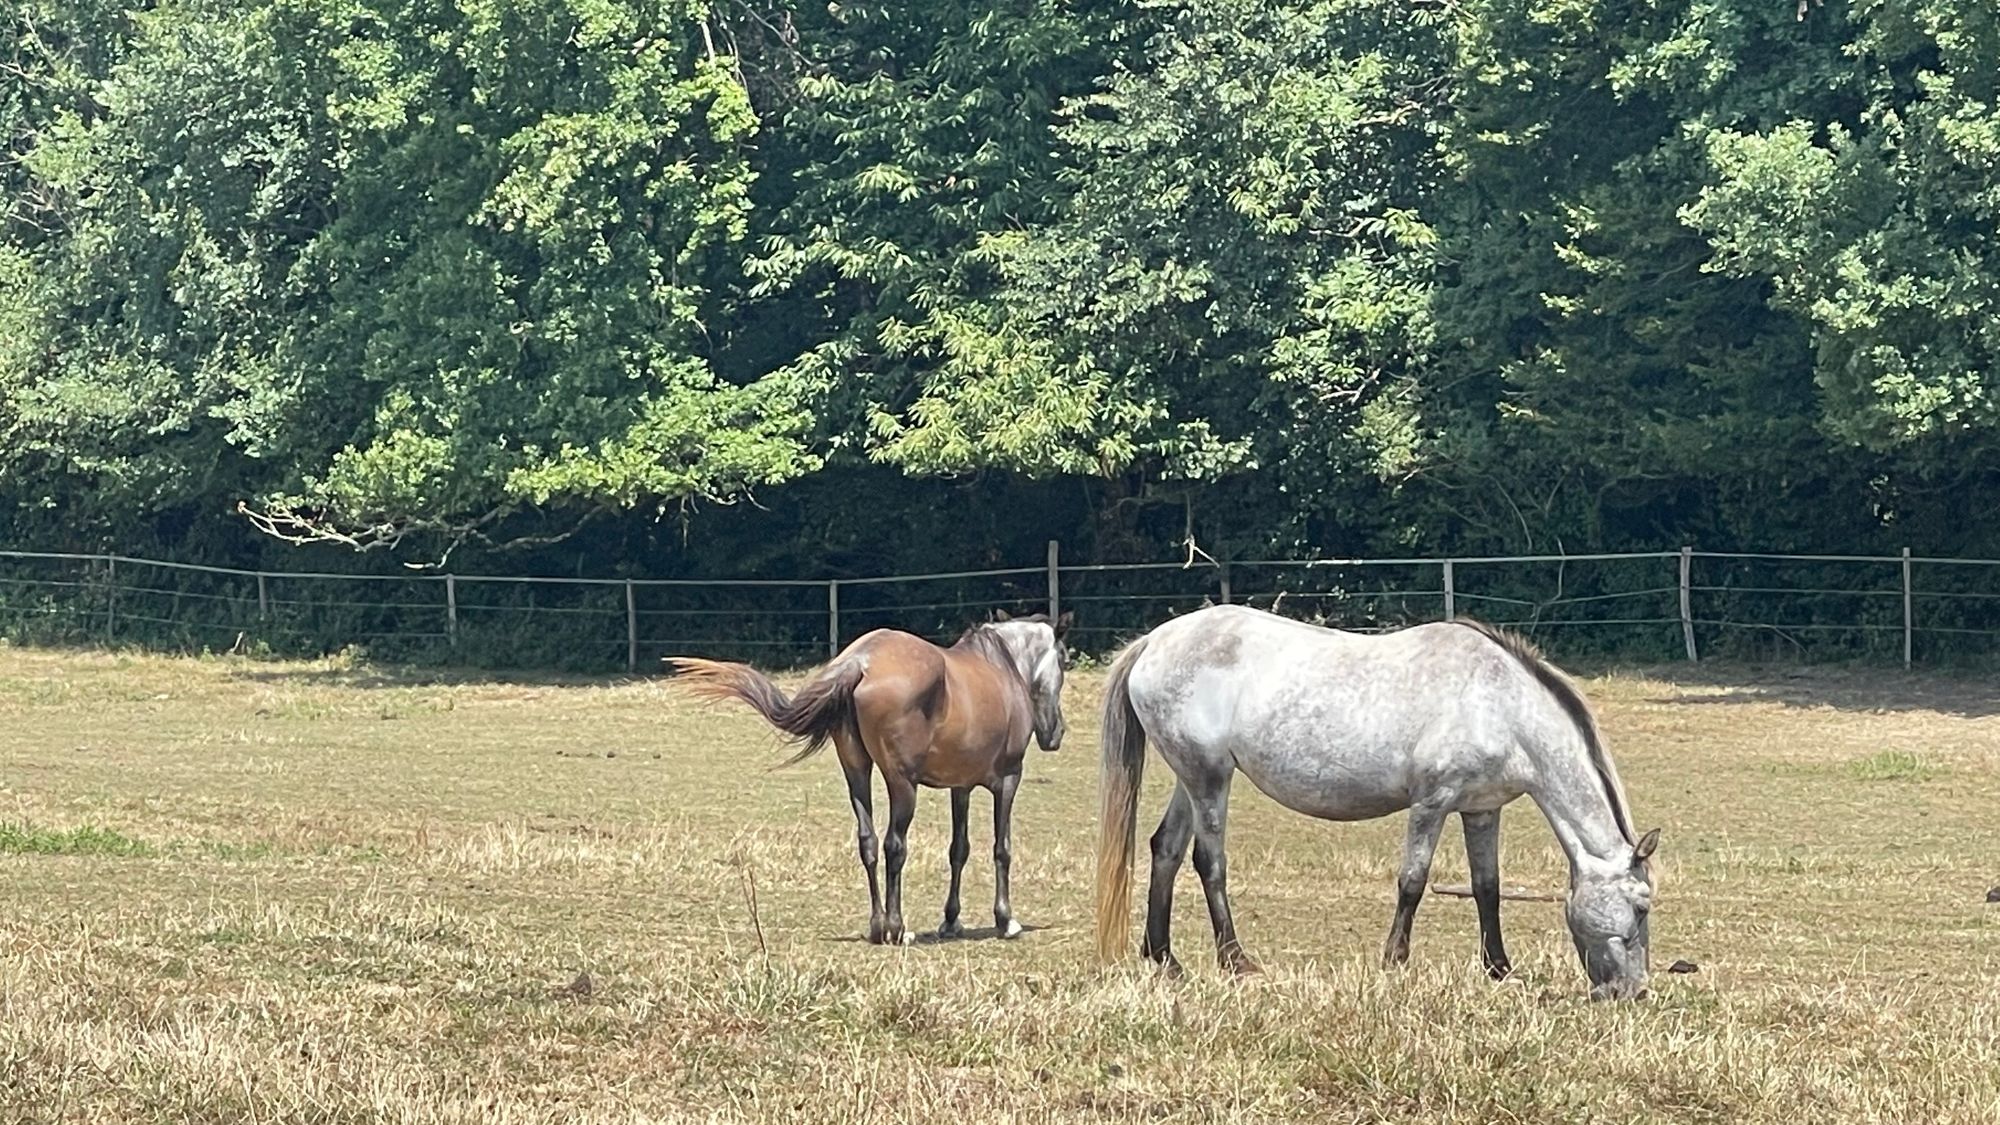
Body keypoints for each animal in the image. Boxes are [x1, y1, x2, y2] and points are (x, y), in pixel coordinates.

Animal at [668, 608, 1080, 940]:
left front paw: (951, 920)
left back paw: (877, 924)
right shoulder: (1008, 780)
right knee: (893, 845)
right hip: (902, 784)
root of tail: (860, 662)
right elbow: (1001, 849)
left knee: (867, 842)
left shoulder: (959, 786)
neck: (1003, 668)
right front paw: (1005, 920)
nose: (1055, 733)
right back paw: (896, 928)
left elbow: (958, 850)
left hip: (856, 770)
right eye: (1062, 659)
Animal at [1096, 604, 1656, 996]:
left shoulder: (1481, 809)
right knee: (1207, 860)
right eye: (1640, 906)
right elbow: (1413, 881)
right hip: (1209, 778)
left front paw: (1499, 968)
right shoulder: (1432, 803)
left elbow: (1487, 888)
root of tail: (1154, 641)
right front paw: (1395, 961)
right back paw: (1235, 961)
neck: (1499, 704)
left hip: (1191, 778)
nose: (1632, 991)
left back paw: (1164, 958)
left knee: (1165, 849)